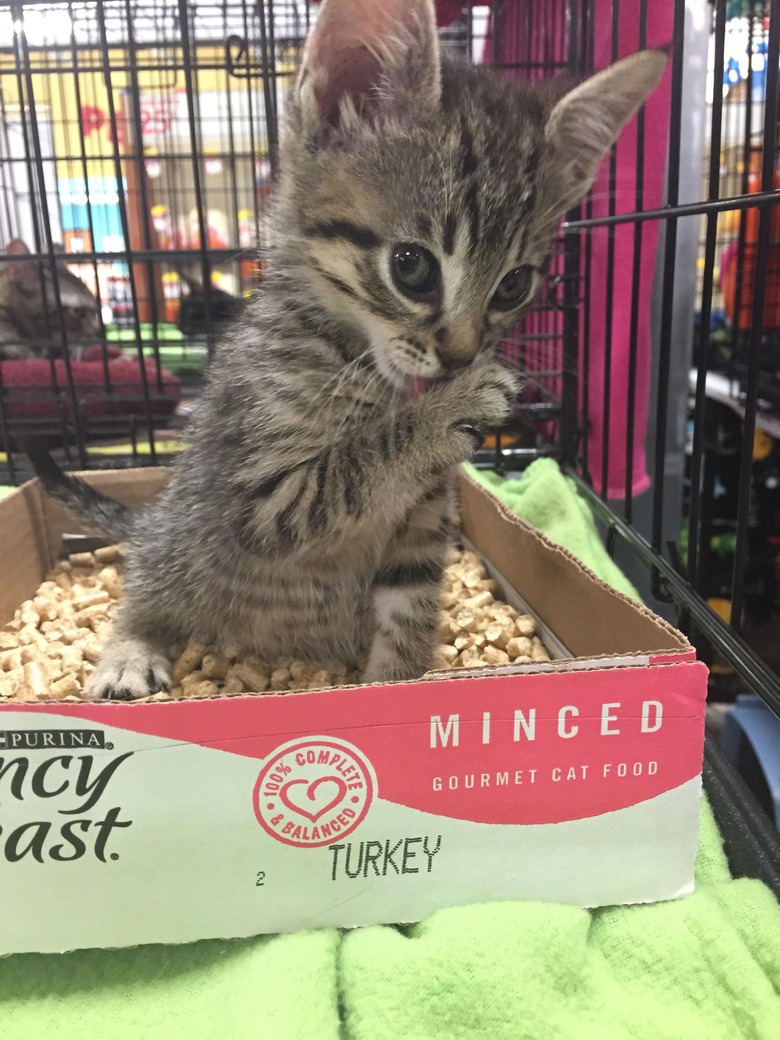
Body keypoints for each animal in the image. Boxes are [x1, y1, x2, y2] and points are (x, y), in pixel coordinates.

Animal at [28, 2, 665, 698]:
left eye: (515, 285)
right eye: (411, 267)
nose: (462, 357)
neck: (358, 365)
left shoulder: (422, 517)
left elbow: (407, 605)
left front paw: (397, 685)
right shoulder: (261, 496)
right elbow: (356, 463)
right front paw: (445, 411)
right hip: (183, 532)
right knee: (146, 584)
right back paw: (129, 648)